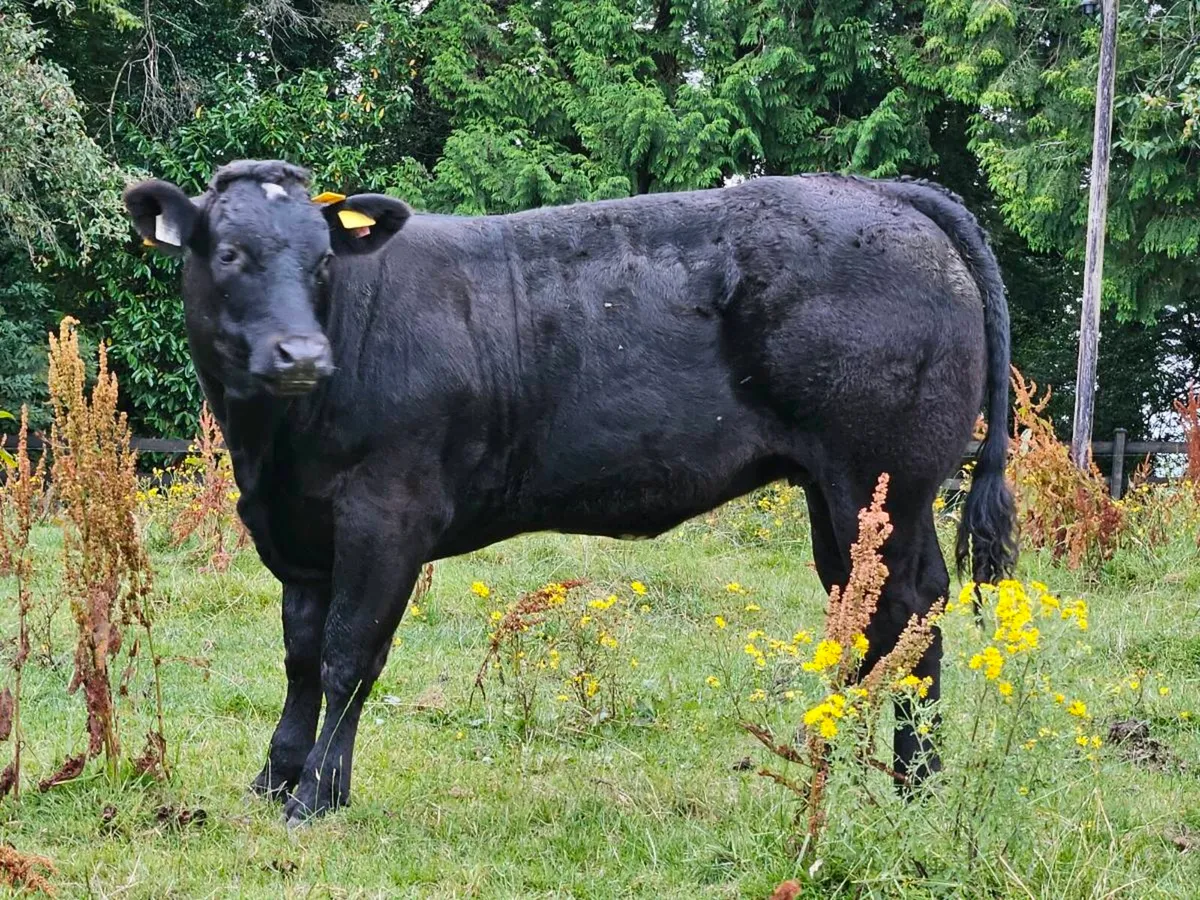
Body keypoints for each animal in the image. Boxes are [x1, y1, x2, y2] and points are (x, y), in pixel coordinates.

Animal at [123, 159, 1016, 824]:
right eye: (230, 254)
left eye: (320, 262)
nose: (301, 354)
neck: (271, 448)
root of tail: (881, 192)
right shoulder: (297, 528)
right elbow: (301, 656)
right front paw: (274, 776)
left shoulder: (388, 514)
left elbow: (349, 656)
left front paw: (315, 795)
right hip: (838, 497)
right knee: (866, 617)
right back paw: (862, 770)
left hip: (886, 482)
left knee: (914, 612)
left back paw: (915, 785)